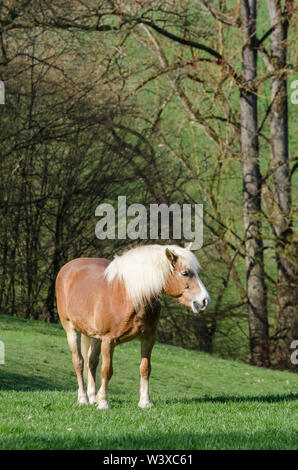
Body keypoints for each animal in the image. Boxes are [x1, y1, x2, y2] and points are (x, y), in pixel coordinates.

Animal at [55, 244, 210, 410]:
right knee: (79, 362)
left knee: (91, 362)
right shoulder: (108, 341)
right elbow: (107, 371)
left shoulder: (148, 338)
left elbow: (145, 369)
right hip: (71, 330)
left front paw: (145, 402)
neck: (130, 297)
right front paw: (103, 402)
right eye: (185, 273)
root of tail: (67, 268)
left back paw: (92, 397)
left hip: (94, 336)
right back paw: (83, 398)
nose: (205, 301)